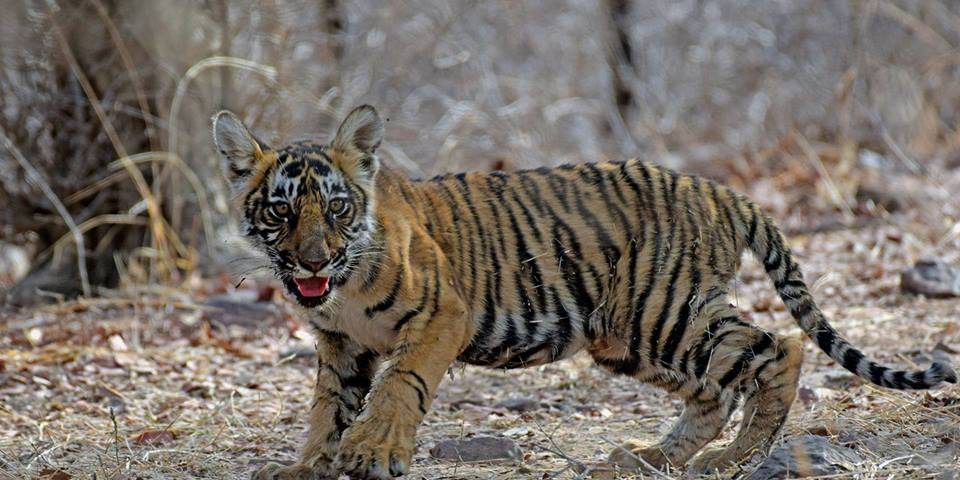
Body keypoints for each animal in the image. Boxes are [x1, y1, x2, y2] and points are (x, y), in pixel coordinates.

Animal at [212, 105, 956, 480]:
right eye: (282, 211)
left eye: (336, 209)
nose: (313, 260)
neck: (339, 289)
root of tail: (721, 190)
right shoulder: (342, 344)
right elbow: (327, 407)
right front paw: (309, 465)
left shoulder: (441, 315)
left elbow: (399, 387)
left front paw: (372, 453)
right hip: (627, 337)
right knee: (715, 387)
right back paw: (652, 459)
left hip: (661, 310)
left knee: (779, 348)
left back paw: (730, 461)